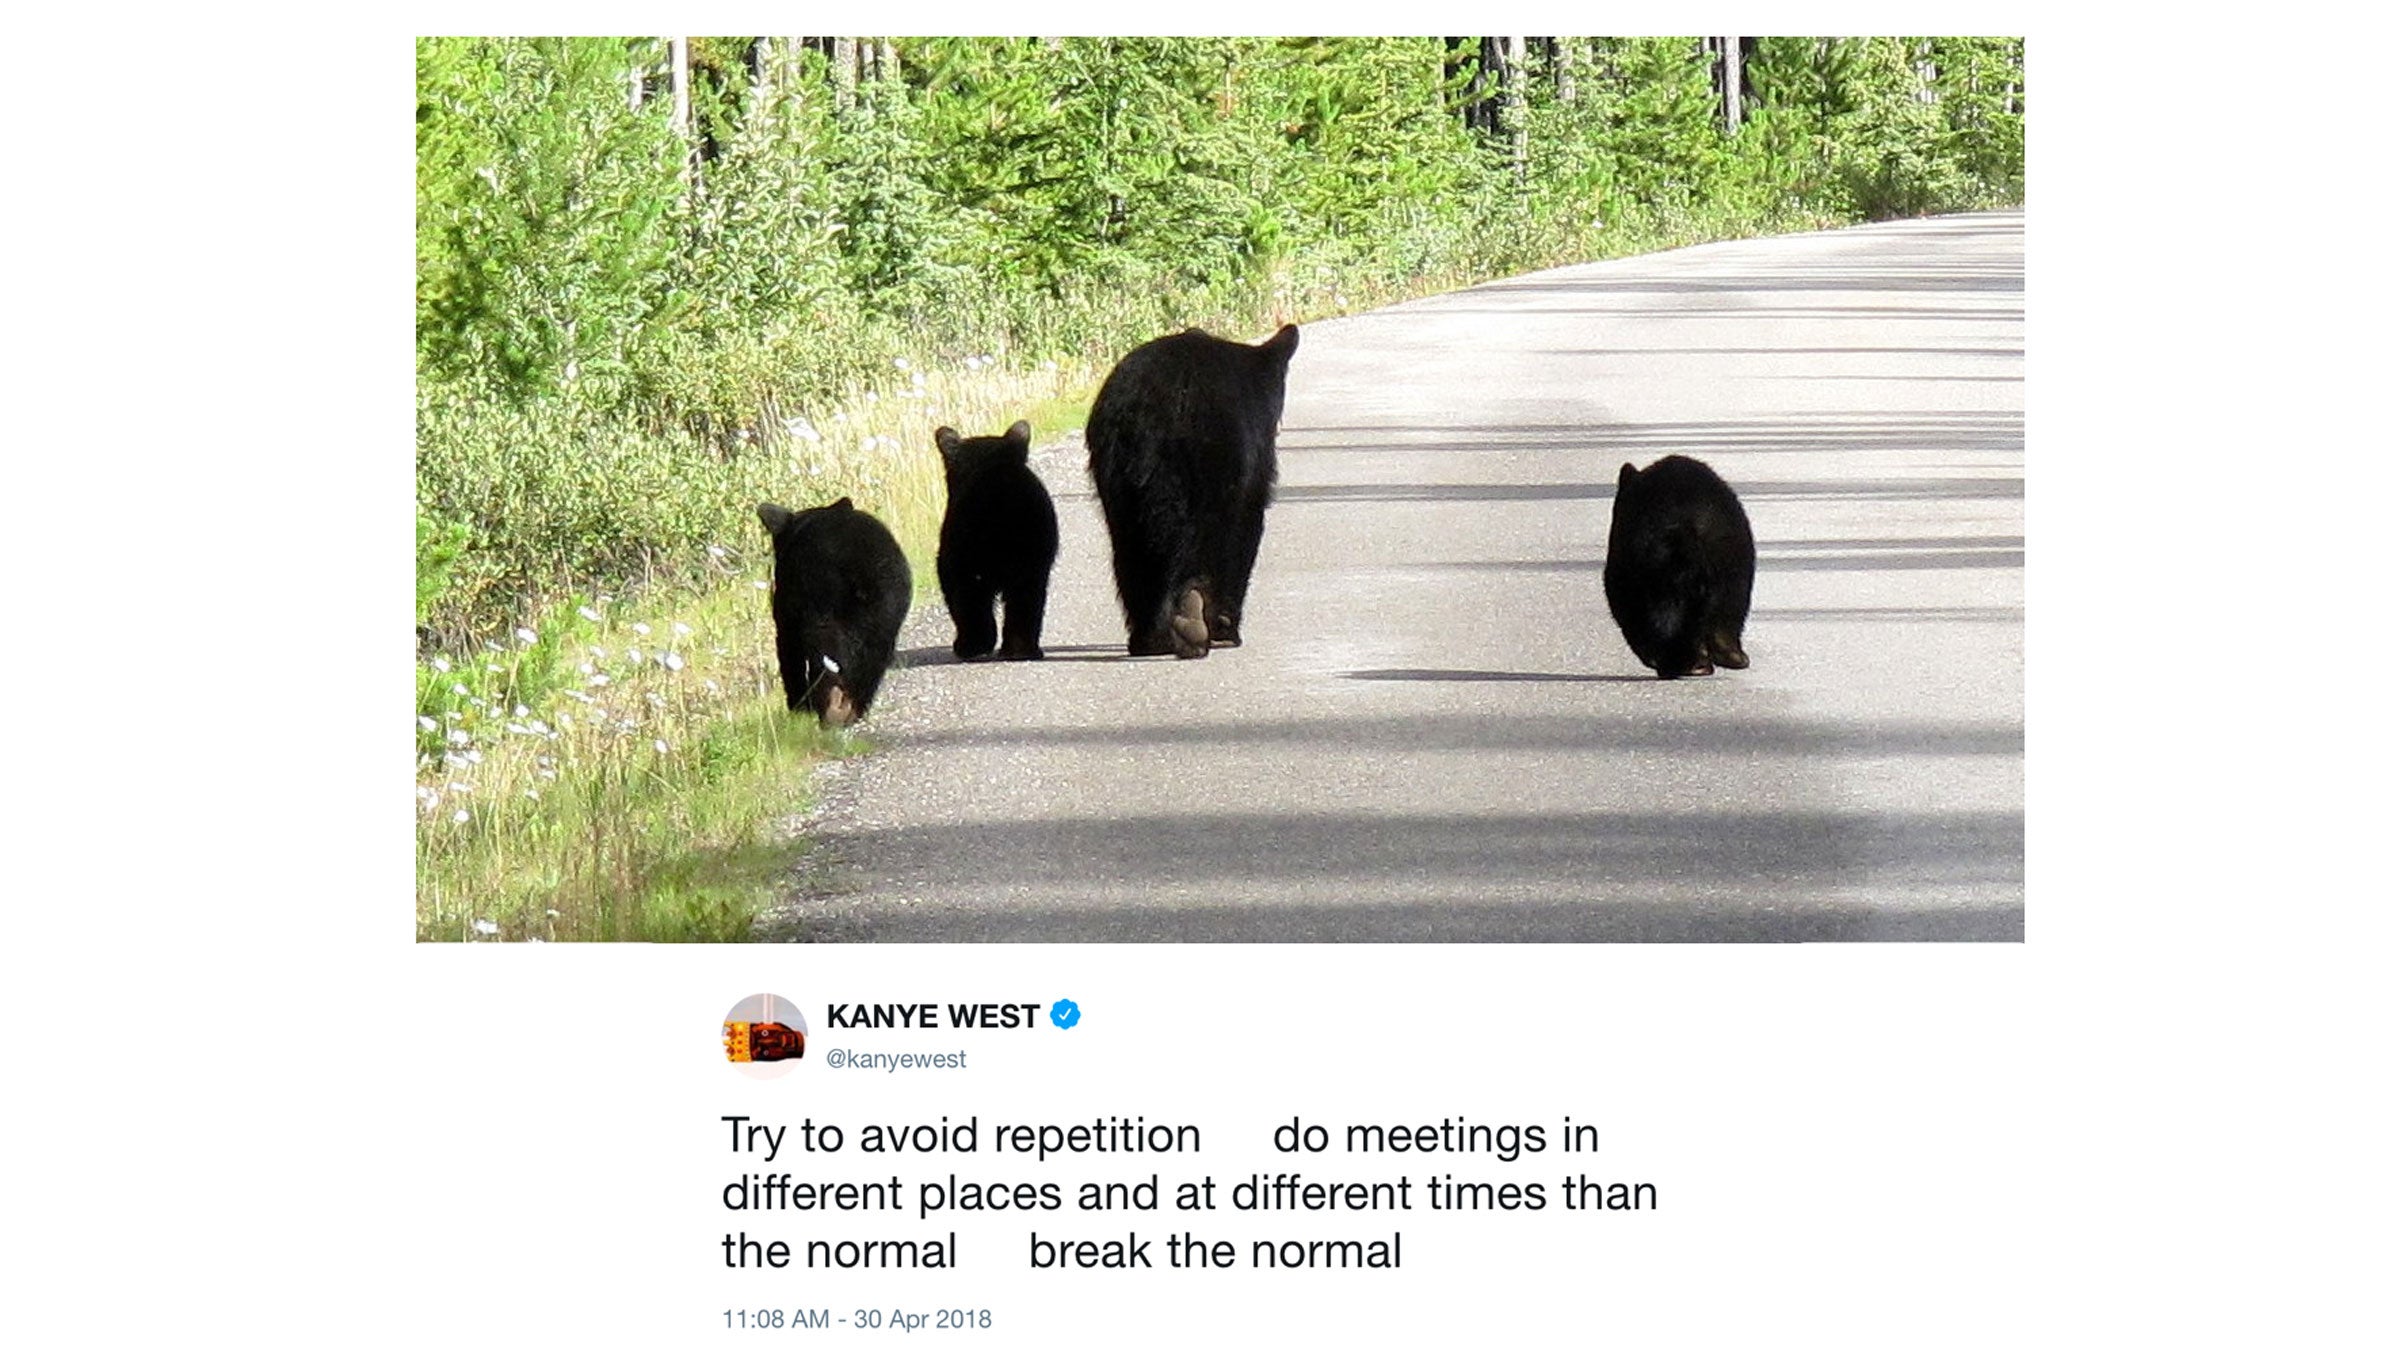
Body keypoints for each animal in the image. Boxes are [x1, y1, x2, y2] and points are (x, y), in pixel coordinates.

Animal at [754, 497, 912, 726]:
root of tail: (858, 572)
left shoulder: (787, 612)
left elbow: (788, 651)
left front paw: (798, 708)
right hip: (883, 614)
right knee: (873, 658)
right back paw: (854, 709)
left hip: (822, 608)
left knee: (824, 657)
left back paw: (829, 711)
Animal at [934, 420, 1060, 662]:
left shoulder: (953, 556)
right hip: (1032, 549)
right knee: (1026, 597)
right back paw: (1021, 649)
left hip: (967, 549)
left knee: (970, 595)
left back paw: (972, 645)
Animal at [1084, 324, 1300, 658]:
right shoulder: (1250, 469)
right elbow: (1246, 531)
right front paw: (1227, 629)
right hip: (1210, 465)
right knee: (1205, 539)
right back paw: (1192, 619)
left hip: (1117, 474)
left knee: (1128, 544)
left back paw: (1149, 638)